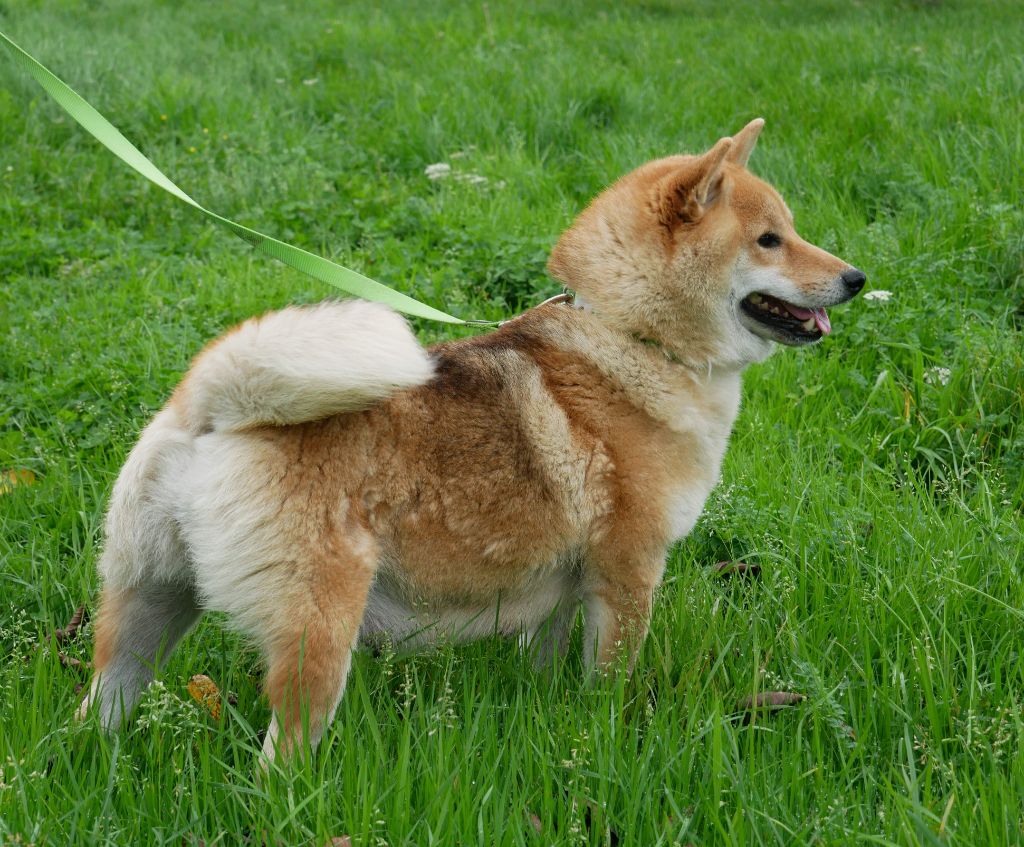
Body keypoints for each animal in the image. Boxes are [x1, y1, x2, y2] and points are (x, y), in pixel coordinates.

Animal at [77, 119, 864, 761]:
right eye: (769, 240)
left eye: (791, 230)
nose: (857, 277)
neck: (628, 335)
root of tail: (214, 409)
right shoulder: (627, 573)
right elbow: (611, 680)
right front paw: (609, 735)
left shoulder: (561, 586)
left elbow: (550, 668)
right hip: (317, 635)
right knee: (282, 754)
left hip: (147, 606)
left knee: (99, 706)